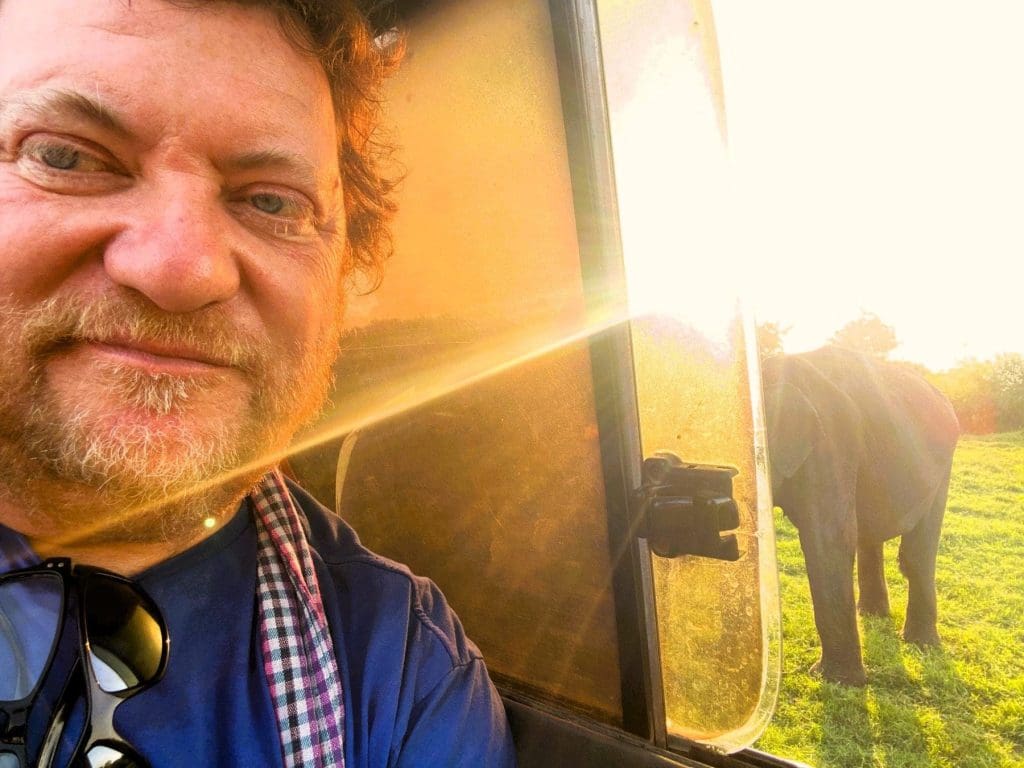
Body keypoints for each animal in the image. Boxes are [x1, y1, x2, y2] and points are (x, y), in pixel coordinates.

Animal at [761, 348, 958, 684]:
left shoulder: (832, 442)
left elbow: (828, 538)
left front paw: (836, 681)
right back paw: (872, 614)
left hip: (941, 468)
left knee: (917, 553)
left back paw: (921, 643)